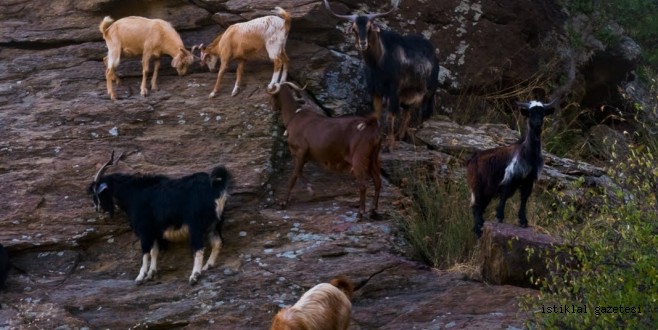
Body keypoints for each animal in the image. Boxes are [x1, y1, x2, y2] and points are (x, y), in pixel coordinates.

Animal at [86, 152, 232, 284]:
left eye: (97, 193)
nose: (97, 209)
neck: (133, 193)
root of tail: (216, 187)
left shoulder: (144, 230)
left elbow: (145, 252)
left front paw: (140, 277)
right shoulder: (154, 231)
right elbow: (154, 251)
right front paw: (151, 274)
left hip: (196, 224)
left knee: (199, 248)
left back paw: (194, 276)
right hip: (215, 222)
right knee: (218, 242)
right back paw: (208, 266)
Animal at [266, 82, 380, 219]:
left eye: (272, 93)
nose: (271, 107)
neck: (294, 116)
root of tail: (370, 127)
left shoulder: (300, 150)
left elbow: (294, 174)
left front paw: (286, 201)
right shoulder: (300, 155)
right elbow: (298, 172)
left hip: (359, 157)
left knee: (363, 184)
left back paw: (360, 213)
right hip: (373, 157)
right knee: (378, 182)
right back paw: (373, 210)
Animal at [322, 0, 438, 150]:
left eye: (369, 27)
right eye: (354, 28)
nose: (362, 44)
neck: (379, 63)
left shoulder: (393, 89)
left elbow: (390, 114)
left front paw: (390, 144)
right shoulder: (375, 89)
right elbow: (376, 115)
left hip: (429, 90)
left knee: (425, 112)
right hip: (409, 92)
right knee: (407, 112)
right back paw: (400, 135)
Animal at [466, 100, 552, 237]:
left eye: (543, 113)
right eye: (530, 113)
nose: (538, 123)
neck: (529, 153)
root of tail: (472, 159)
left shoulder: (528, 179)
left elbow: (524, 198)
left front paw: (523, 221)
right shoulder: (510, 175)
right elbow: (505, 195)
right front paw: (500, 216)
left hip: (487, 191)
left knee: (480, 208)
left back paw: (478, 230)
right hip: (476, 185)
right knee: (476, 206)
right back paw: (479, 230)